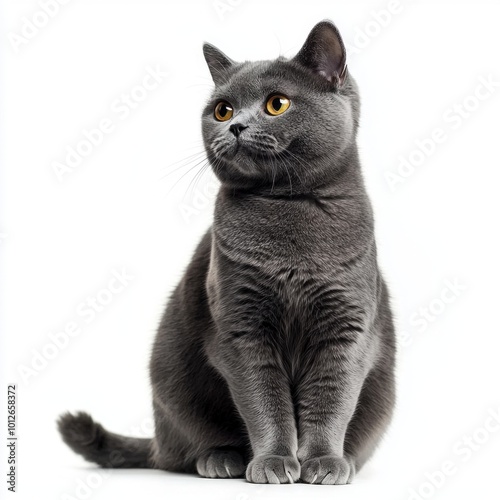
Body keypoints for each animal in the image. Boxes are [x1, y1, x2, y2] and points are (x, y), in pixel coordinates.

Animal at [57, 20, 394, 484]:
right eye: (221, 110)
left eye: (276, 103)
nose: (235, 126)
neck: (287, 208)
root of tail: (158, 441)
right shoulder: (240, 326)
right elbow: (263, 400)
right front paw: (274, 461)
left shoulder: (346, 323)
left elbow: (332, 397)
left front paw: (324, 461)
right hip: (174, 383)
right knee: (185, 449)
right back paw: (221, 459)